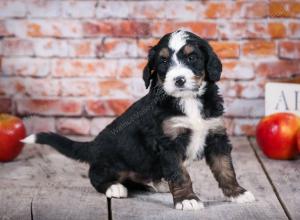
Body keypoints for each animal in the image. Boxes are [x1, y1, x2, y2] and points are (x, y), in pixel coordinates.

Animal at [22, 30, 254, 211]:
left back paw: (155, 184)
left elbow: (225, 168)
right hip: (111, 162)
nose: (179, 80)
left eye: (192, 58)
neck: (188, 100)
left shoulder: (216, 135)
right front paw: (187, 200)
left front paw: (237, 193)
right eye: (163, 61)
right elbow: (180, 173)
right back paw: (114, 187)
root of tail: (94, 144)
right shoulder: (168, 144)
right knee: (96, 175)